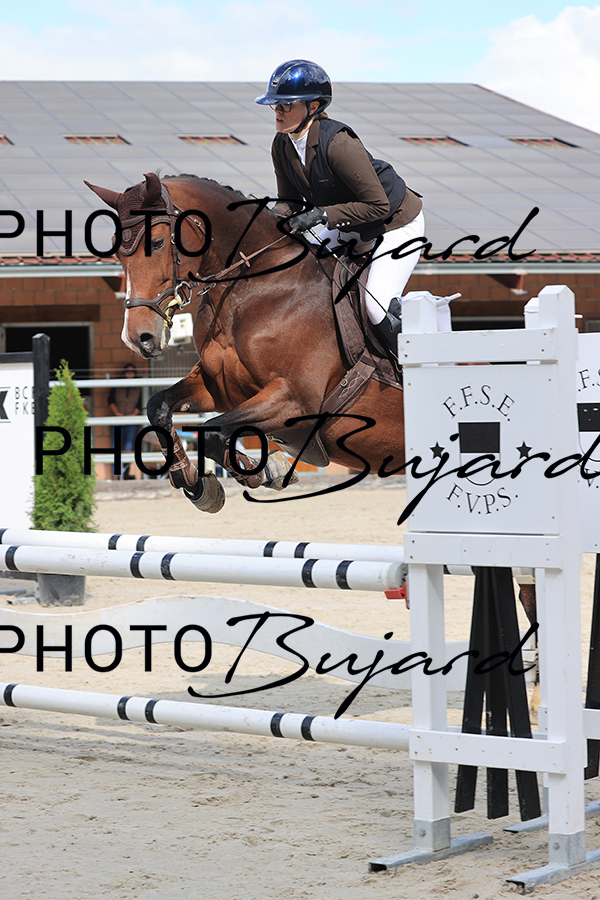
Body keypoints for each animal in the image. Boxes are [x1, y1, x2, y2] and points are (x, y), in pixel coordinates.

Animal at [86, 172, 405, 513]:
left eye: (157, 243)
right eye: (118, 252)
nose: (138, 338)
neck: (255, 289)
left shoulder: (295, 399)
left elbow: (212, 433)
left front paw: (263, 470)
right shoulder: (220, 389)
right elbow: (159, 407)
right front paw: (193, 481)